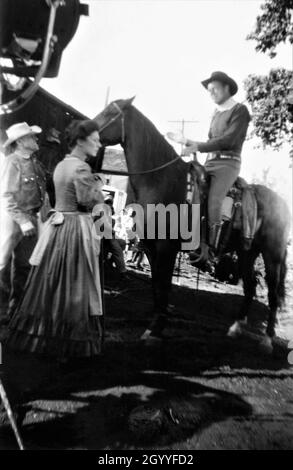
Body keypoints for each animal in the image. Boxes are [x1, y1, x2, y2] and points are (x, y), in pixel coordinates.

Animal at [94, 98, 290, 352]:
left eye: (110, 113)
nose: (77, 130)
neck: (162, 181)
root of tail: (282, 203)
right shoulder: (150, 248)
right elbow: (156, 285)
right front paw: (155, 327)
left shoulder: (167, 248)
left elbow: (164, 285)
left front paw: (154, 330)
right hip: (247, 252)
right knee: (250, 286)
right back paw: (235, 329)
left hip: (272, 254)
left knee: (273, 293)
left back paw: (266, 340)